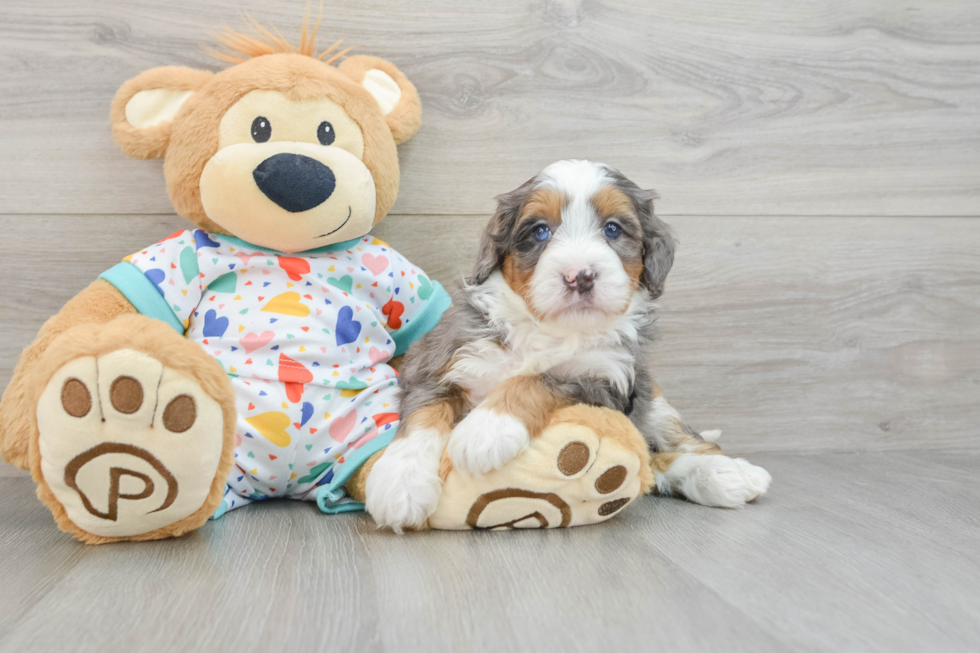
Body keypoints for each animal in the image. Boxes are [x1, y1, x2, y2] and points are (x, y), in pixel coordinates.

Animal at [368, 160, 772, 532]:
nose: (580, 276)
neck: (549, 330)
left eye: (612, 229)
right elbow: (423, 416)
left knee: (675, 444)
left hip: (653, 402)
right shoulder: (440, 360)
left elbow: (539, 378)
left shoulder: (604, 380)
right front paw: (398, 486)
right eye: (540, 231)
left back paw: (730, 474)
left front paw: (486, 429)